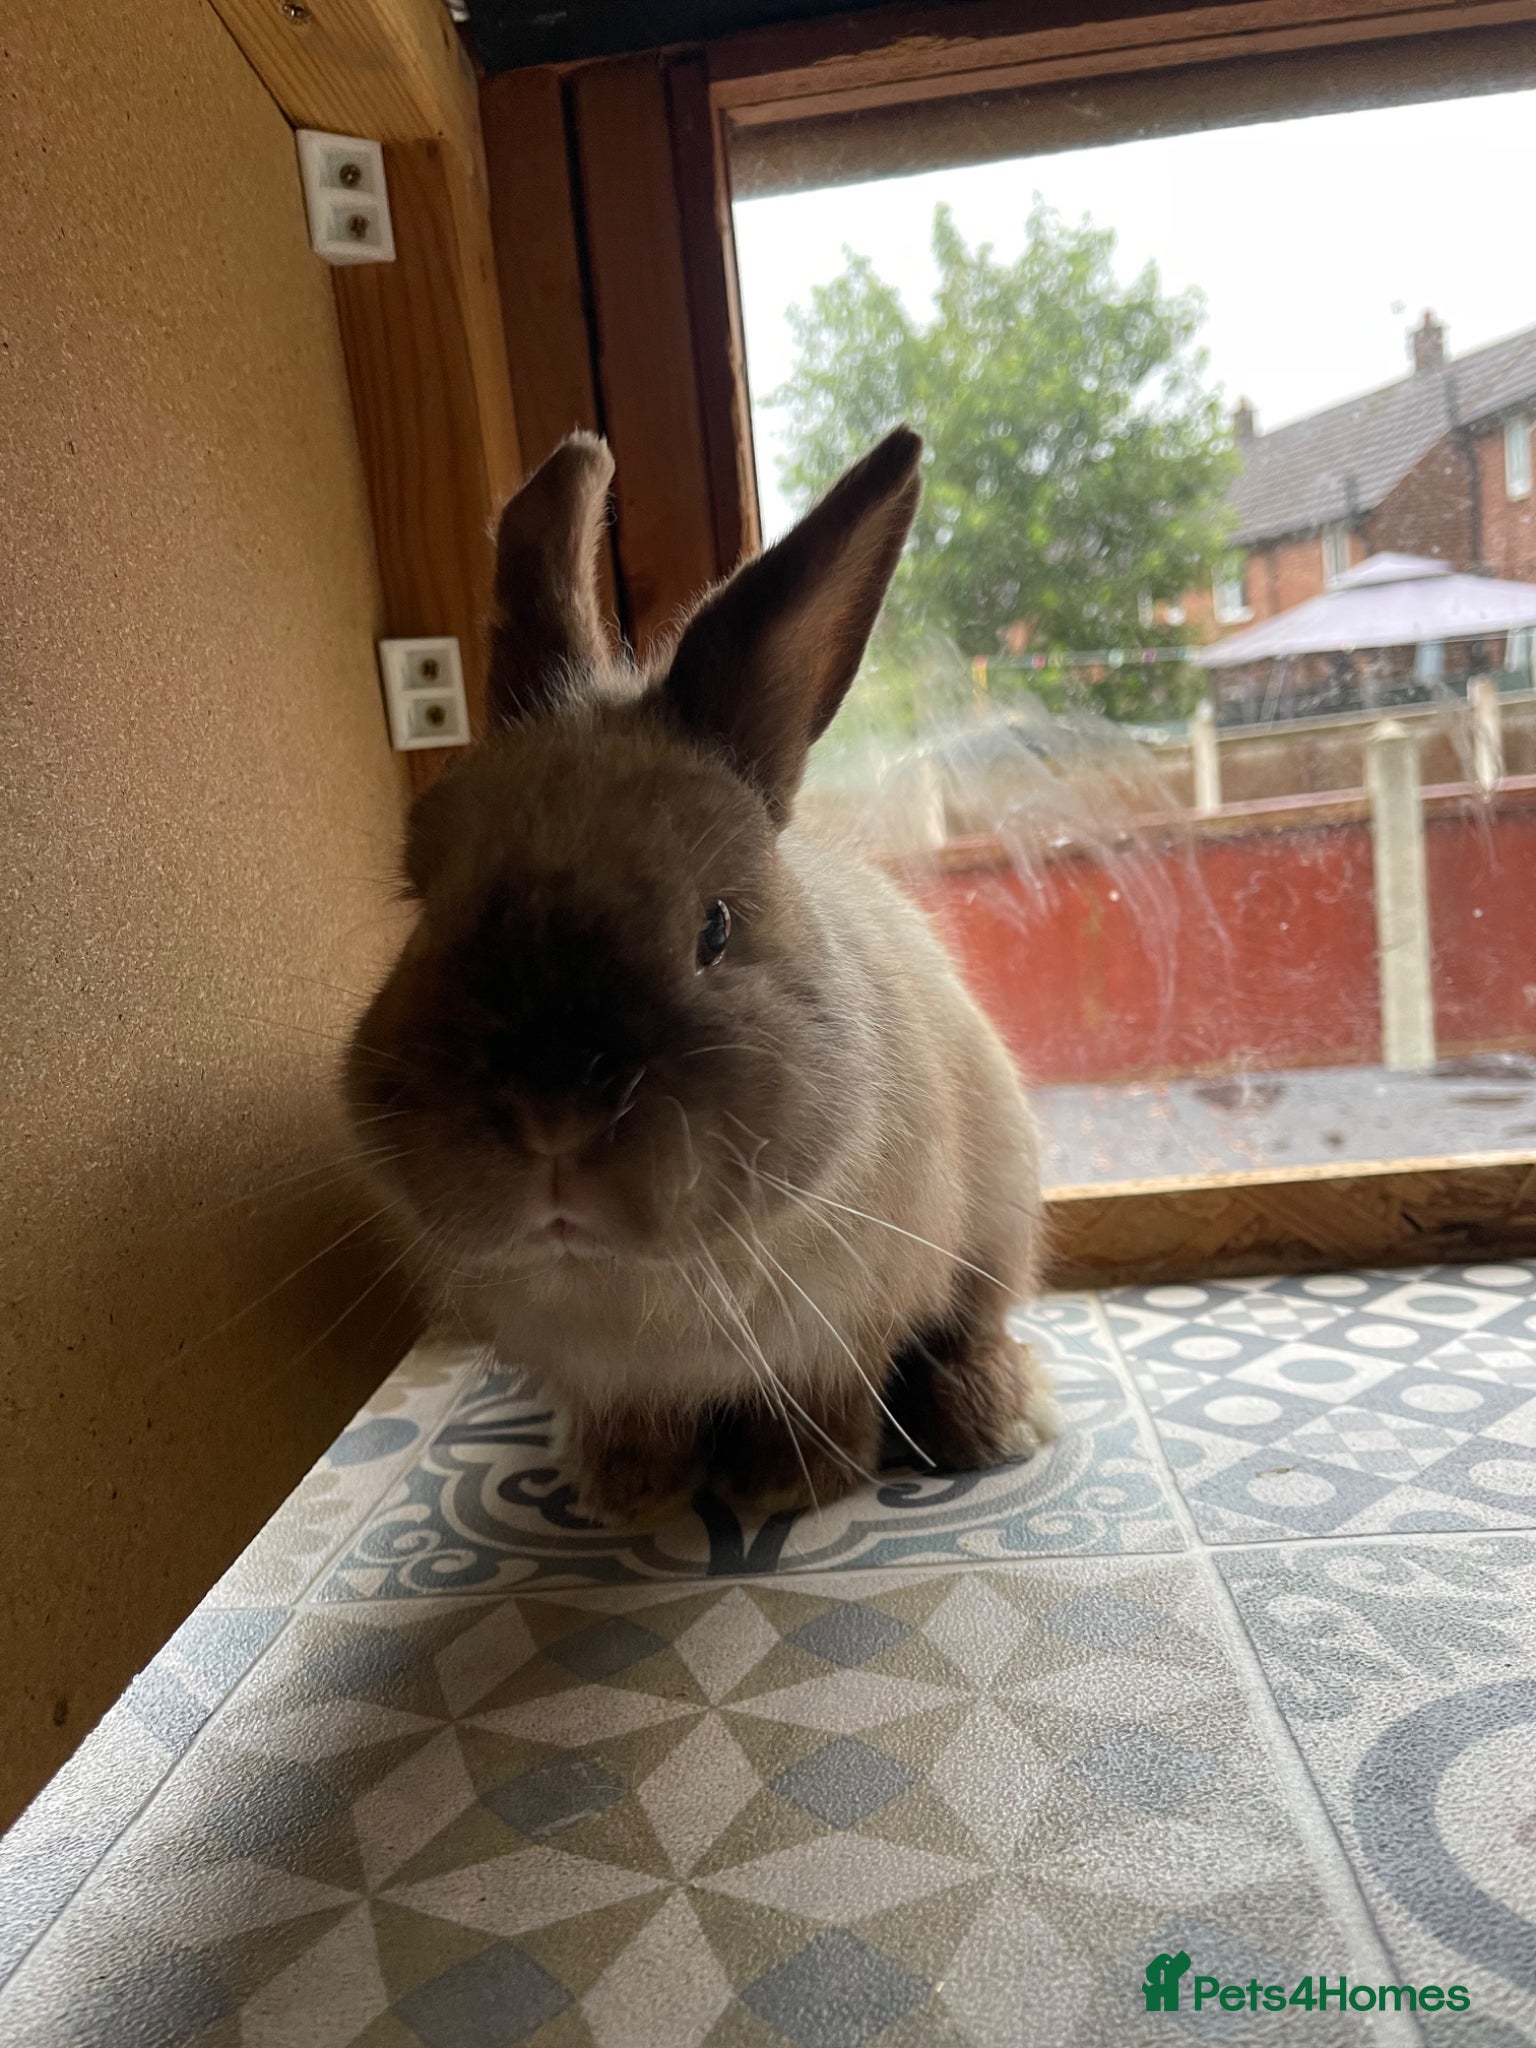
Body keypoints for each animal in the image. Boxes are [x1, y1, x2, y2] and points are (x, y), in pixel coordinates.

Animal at [345, 425, 1057, 1524]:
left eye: (714, 929)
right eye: (425, 908)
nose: (552, 1119)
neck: (645, 1284)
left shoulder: (843, 1327)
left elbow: (825, 1399)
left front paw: (784, 1484)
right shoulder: (605, 1372)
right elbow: (633, 1418)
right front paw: (627, 1492)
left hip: (1003, 1211)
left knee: (977, 1323)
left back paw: (986, 1419)